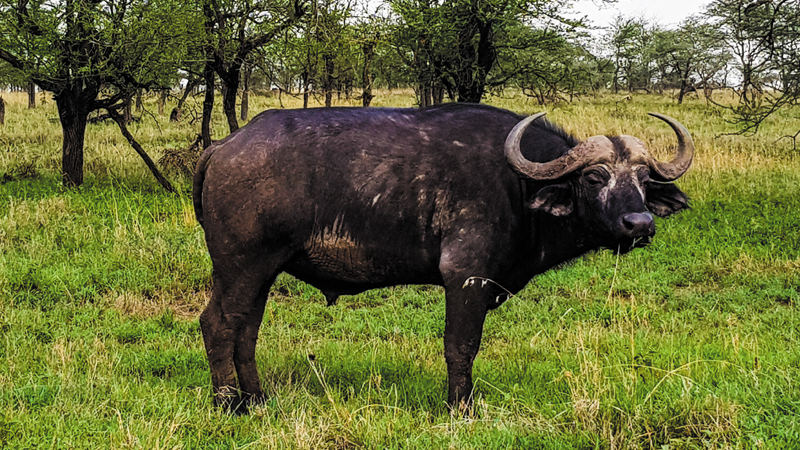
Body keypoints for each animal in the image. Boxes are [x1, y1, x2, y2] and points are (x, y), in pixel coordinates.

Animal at [194, 102, 692, 412]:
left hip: (262, 272)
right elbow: (461, 346)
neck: (517, 185)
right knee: (217, 323)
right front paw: (460, 407)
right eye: (593, 177)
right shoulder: (467, 279)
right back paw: (227, 403)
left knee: (246, 330)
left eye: (644, 179)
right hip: (241, 267)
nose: (639, 224)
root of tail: (224, 145)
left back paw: (256, 398)